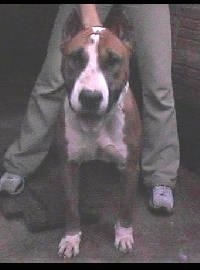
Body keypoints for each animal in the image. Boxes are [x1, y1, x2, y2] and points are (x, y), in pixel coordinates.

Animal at [57, 6, 142, 258]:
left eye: (113, 61)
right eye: (76, 58)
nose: (90, 98)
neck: (97, 124)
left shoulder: (130, 167)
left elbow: (125, 207)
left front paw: (123, 235)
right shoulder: (68, 165)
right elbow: (71, 207)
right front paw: (71, 238)